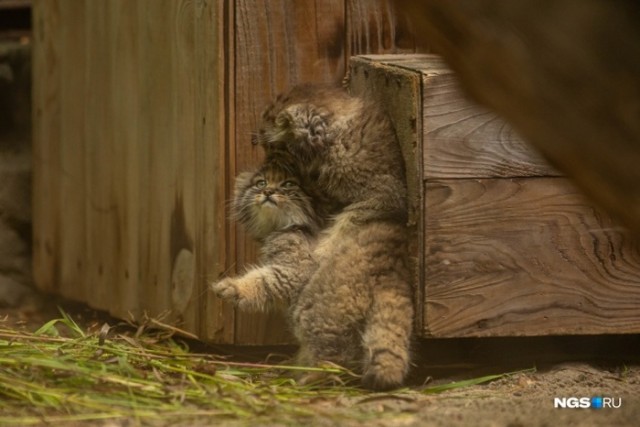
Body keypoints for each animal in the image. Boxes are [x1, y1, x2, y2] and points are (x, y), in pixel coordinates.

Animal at [211, 159, 322, 312]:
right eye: (261, 183)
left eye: (289, 184)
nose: (268, 191)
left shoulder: (295, 271)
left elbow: (263, 282)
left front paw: (233, 287)